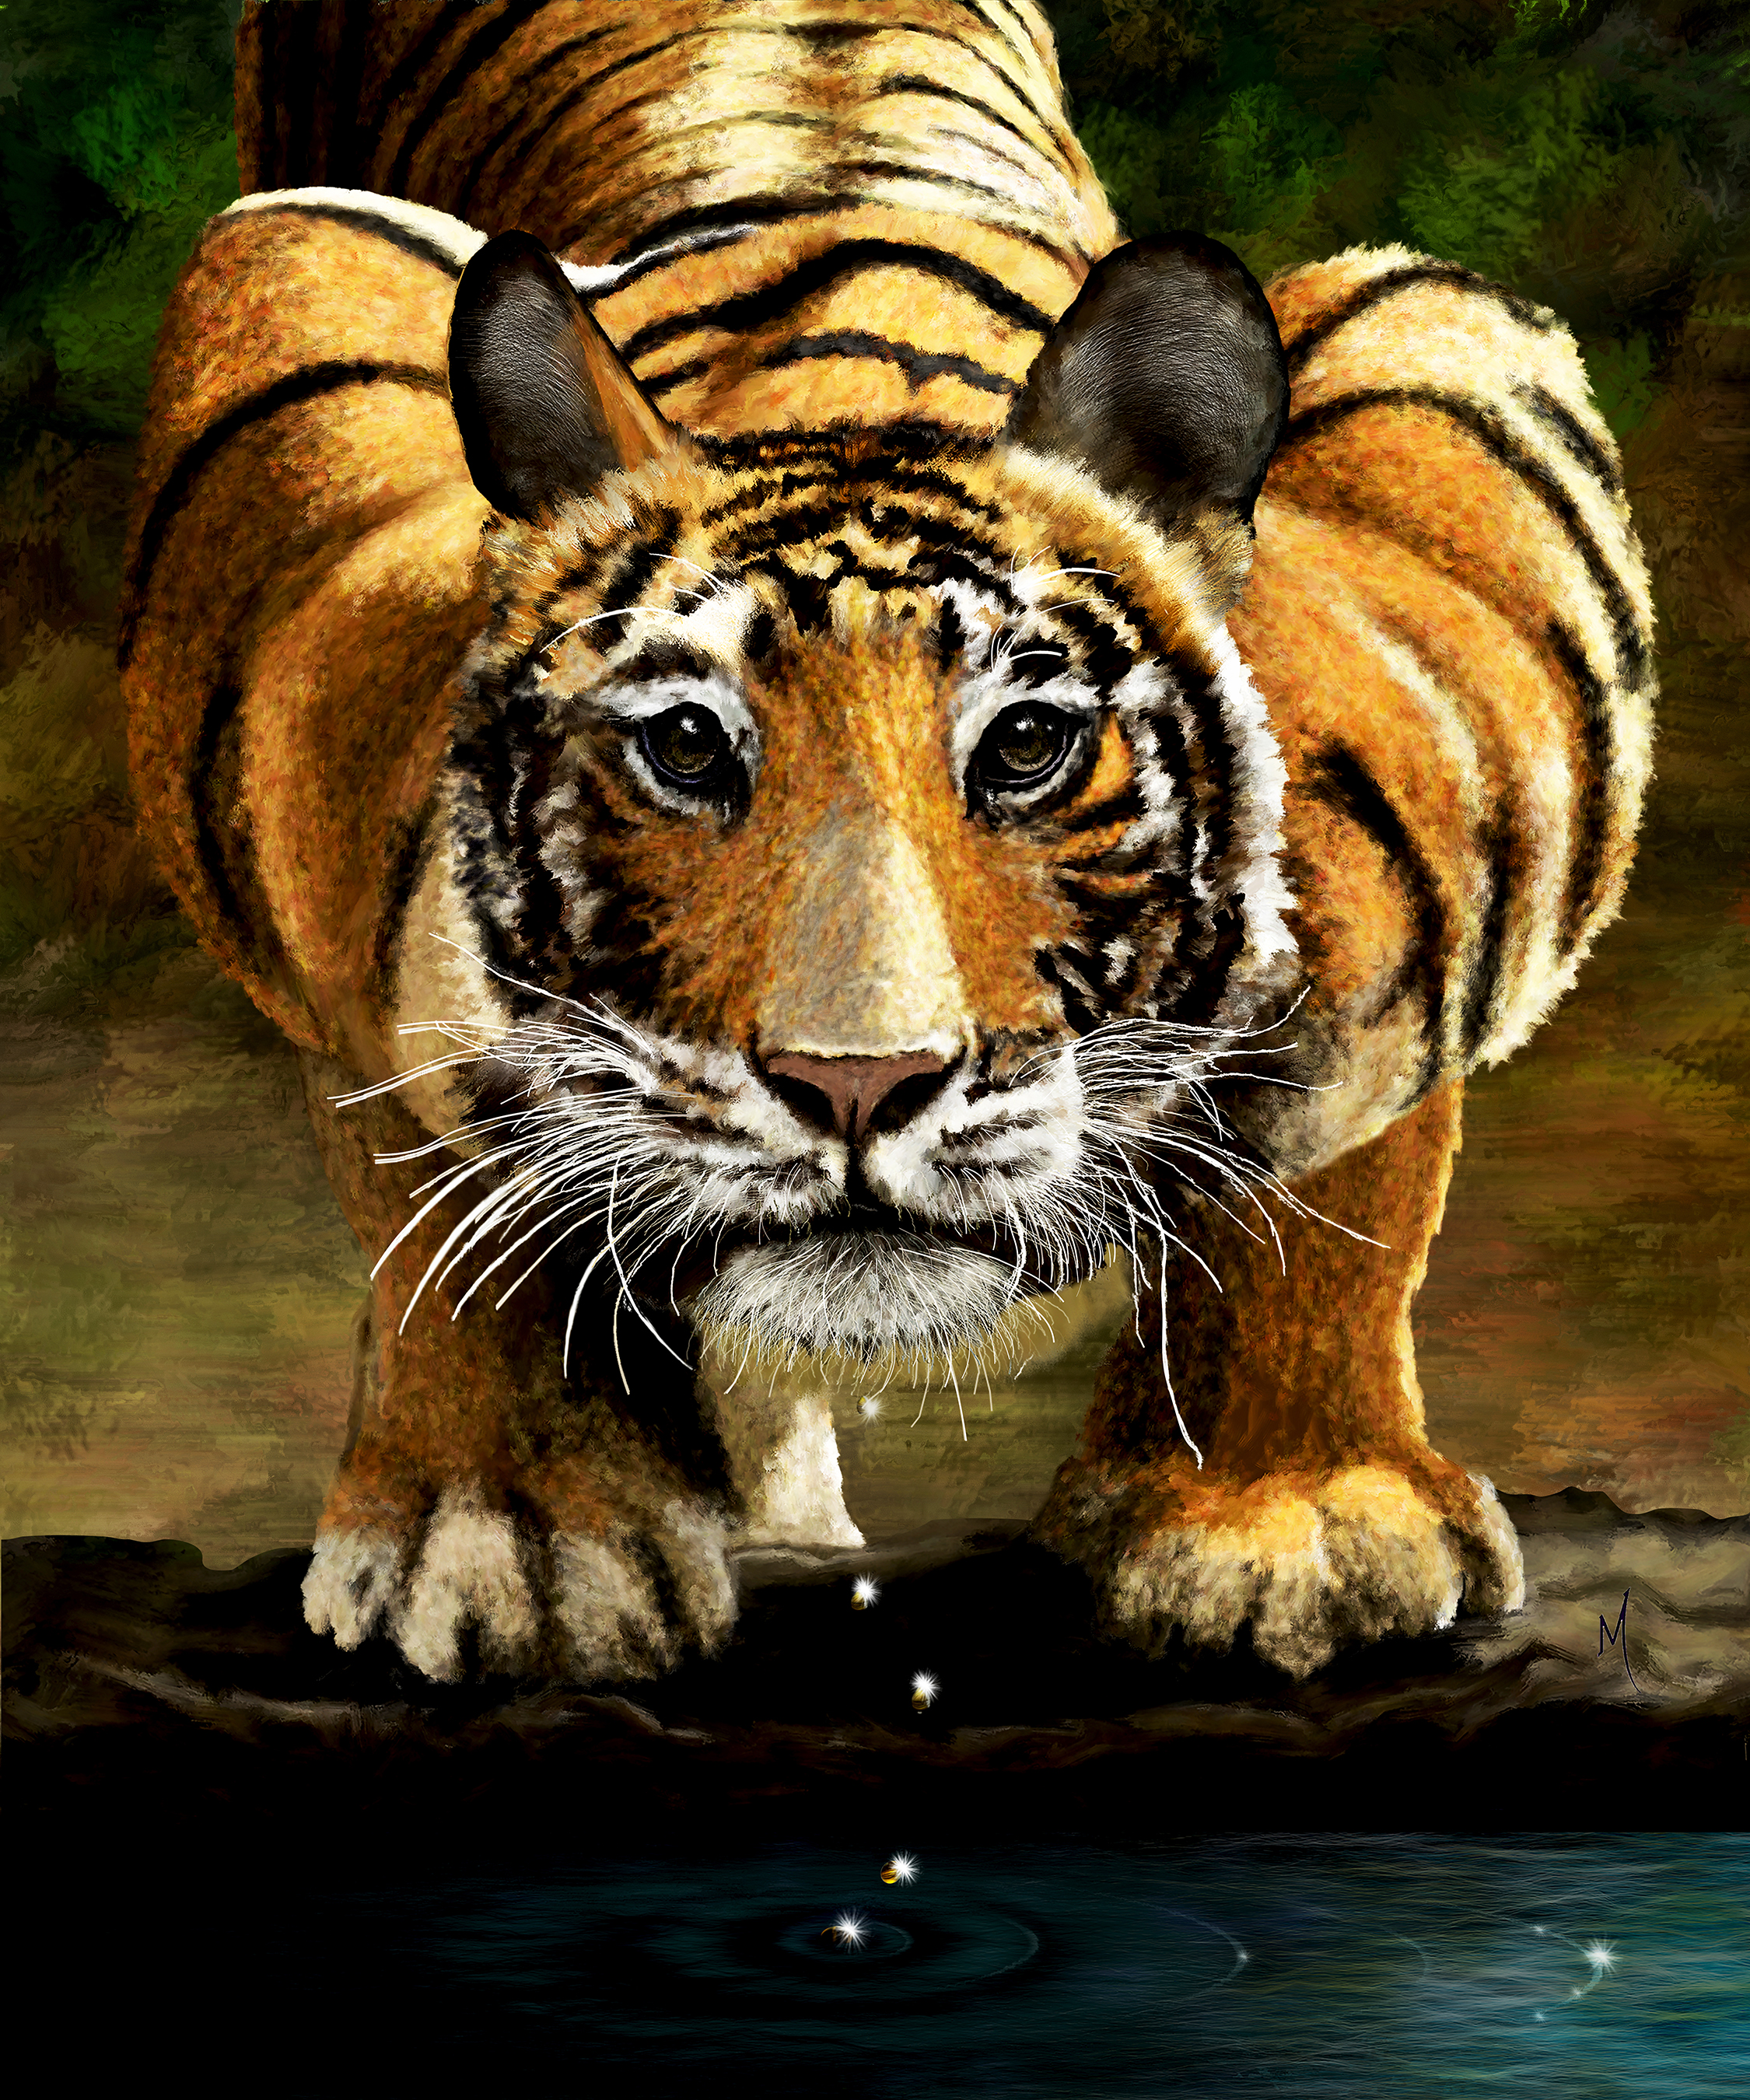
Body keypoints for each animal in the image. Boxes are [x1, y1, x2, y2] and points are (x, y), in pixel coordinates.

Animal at [119, 0, 1654, 1685]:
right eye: (687, 747)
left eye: (1029, 746)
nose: (858, 1085)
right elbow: (437, 1165)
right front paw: (514, 1541)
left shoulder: (1452, 425)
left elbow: (1338, 1144)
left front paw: (1292, 1519)